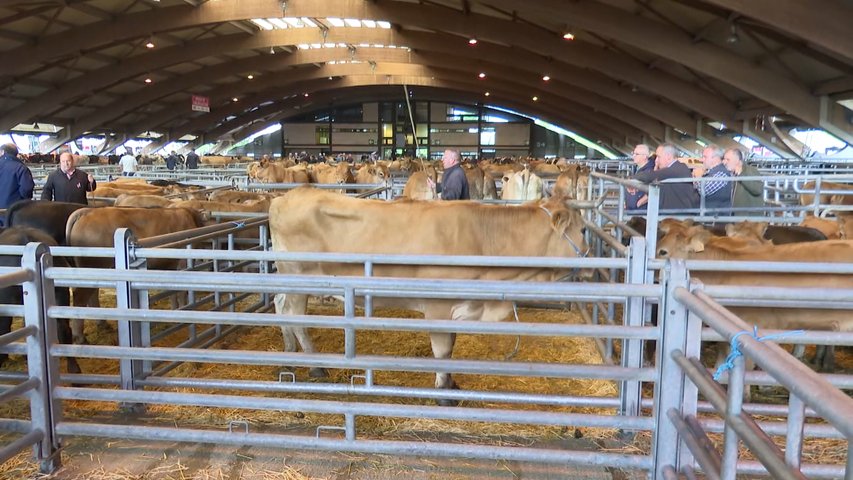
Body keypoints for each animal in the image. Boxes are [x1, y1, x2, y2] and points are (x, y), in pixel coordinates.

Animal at [270, 186, 588, 404]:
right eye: (585, 229)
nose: (590, 265)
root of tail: (288, 195)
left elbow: (452, 347)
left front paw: (452, 384)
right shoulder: (437, 306)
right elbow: (443, 350)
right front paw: (444, 394)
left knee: (279, 304)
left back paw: (288, 357)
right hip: (298, 277)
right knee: (296, 316)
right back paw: (315, 367)